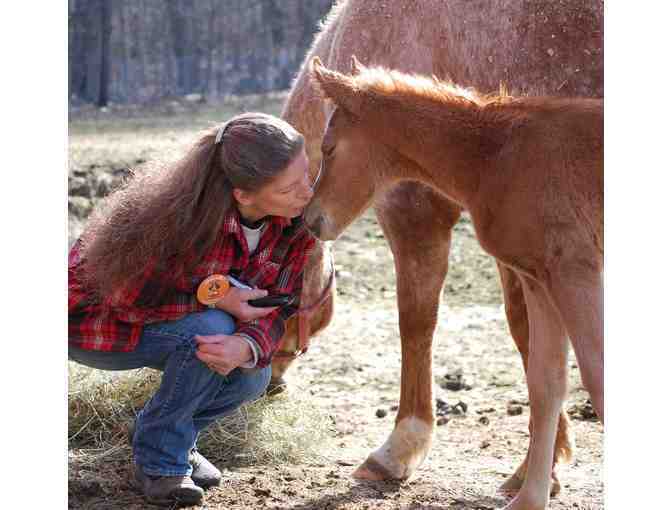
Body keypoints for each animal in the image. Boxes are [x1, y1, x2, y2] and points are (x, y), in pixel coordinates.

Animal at [272, 0, 603, 496]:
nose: (266, 382)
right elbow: (530, 340)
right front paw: (541, 464)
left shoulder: (415, 210)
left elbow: (417, 320)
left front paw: (398, 449)